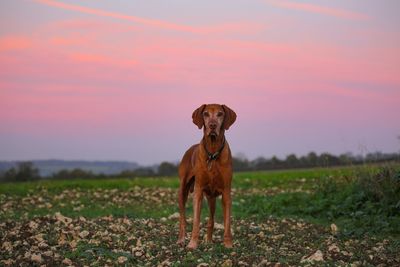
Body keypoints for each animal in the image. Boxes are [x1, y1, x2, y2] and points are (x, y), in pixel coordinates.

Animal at [177, 103, 236, 250]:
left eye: (220, 114)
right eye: (205, 114)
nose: (212, 125)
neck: (213, 153)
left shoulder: (226, 192)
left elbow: (227, 222)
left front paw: (228, 243)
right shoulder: (198, 191)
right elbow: (196, 221)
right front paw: (192, 244)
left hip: (211, 198)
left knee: (211, 219)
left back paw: (209, 240)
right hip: (182, 191)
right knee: (182, 219)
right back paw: (181, 239)